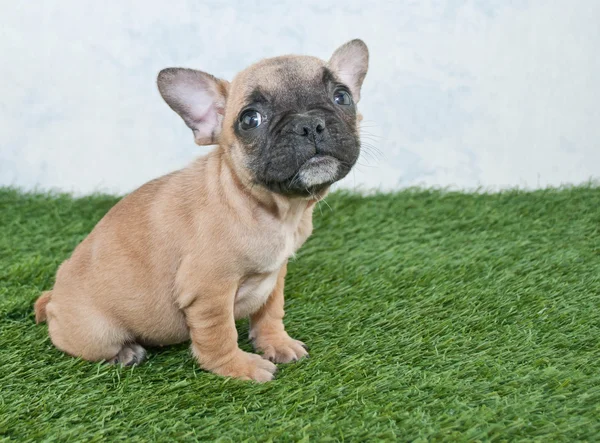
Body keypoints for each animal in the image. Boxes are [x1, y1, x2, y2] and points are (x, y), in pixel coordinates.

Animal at [36, 40, 370, 384]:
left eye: (342, 96)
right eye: (250, 119)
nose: (308, 124)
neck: (271, 209)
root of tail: (54, 297)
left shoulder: (275, 276)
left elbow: (270, 312)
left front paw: (276, 342)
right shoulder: (210, 290)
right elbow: (220, 335)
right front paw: (240, 367)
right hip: (97, 331)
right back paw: (124, 353)